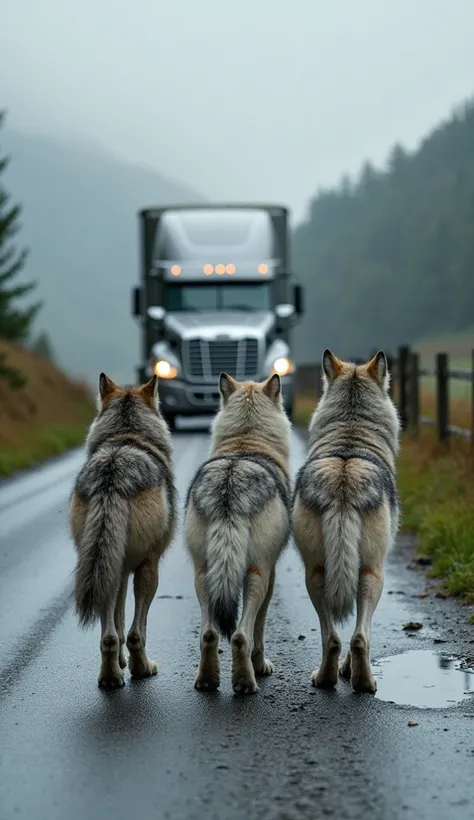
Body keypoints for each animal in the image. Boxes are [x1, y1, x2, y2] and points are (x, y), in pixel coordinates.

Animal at [69, 374, 175, 688]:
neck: (127, 436)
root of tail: (112, 472)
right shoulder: (144, 565)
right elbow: (130, 625)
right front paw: (133, 666)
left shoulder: (118, 570)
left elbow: (116, 619)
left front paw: (121, 664)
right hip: (146, 569)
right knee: (134, 634)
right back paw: (143, 669)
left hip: (106, 568)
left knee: (108, 636)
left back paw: (110, 676)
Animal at [183, 374, 290, 696]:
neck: (245, 443)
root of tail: (229, 483)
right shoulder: (271, 574)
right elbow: (259, 630)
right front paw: (261, 666)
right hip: (257, 575)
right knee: (240, 635)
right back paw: (246, 683)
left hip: (203, 574)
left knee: (209, 633)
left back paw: (207, 681)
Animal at [292, 350, 400, 696]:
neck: (350, 433)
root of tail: (343, 480)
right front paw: (348, 672)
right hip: (374, 575)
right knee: (359, 638)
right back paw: (362, 682)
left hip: (316, 575)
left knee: (335, 639)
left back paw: (327, 678)